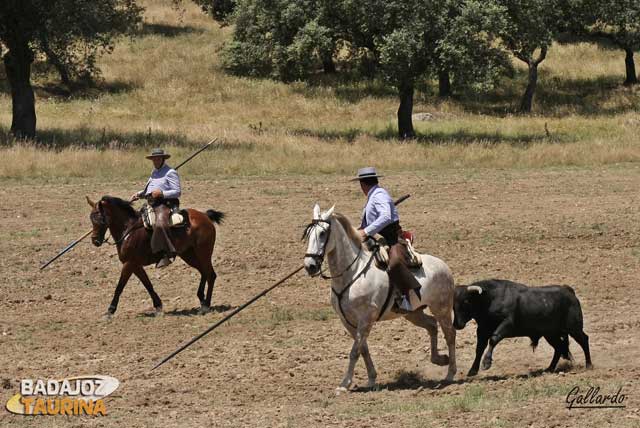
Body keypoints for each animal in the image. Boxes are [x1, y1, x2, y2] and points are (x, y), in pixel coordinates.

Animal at [86, 196, 224, 320]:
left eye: (100, 219)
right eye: (91, 219)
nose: (95, 241)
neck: (129, 230)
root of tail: (205, 216)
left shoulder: (129, 264)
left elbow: (120, 287)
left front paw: (110, 311)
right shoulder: (135, 265)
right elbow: (148, 284)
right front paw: (158, 307)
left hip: (203, 253)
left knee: (211, 275)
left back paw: (206, 305)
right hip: (189, 255)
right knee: (204, 272)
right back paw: (202, 300)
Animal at [304, 202, 458, 392]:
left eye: (323, 233)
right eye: (309, 234)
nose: (310, 265)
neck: (353, 273)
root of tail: (444, 266)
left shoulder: (366, 319)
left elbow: (354, 351)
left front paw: (344, 384)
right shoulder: (348, 321)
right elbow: (362, 349)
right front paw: (371, 379)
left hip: (441, 308)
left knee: (450, 334)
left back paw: (450, 374)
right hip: (414, 313)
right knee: (432, 326)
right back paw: (439, 359)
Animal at [452, 278, 592, 374]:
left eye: (466, 301)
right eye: (453, 304)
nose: (456, 325)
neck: (491, 299)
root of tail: (568, 291)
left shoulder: (506, 324)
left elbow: (493, 339)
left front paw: (486, 363)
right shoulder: (482, 330)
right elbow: (479, 348)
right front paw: (473, 370)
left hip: (574, 328)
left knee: (584, 340)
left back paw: (589, 365)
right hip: (550, 334)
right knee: (559, 348)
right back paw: (549, 368)